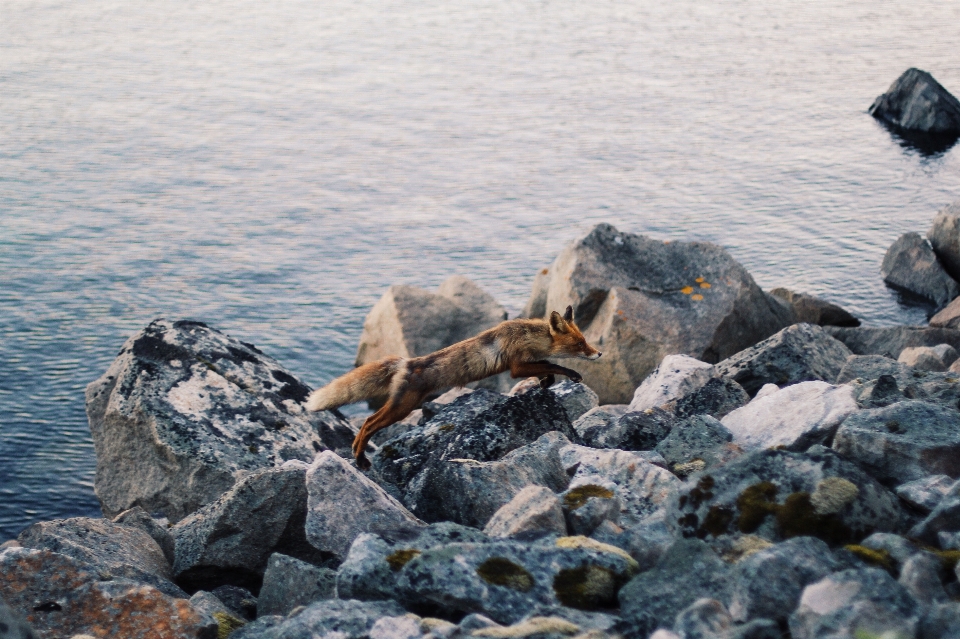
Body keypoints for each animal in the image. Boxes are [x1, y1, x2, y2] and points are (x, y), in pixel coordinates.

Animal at [310, 304, 600, 470]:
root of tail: (406, 363)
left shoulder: (525, 363)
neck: (527, 336)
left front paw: (546, 382)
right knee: (369, 422)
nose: (598, 354)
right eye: (580, 344)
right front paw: (571, 374)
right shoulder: (516, 366)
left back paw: (356, 454)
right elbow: (553, 364)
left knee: (367, 423)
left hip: (400, 406)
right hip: (403, 407)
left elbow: (548, 367)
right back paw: (359, 457)